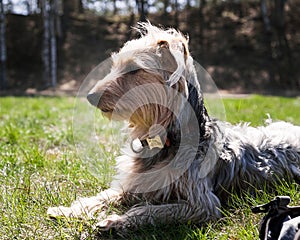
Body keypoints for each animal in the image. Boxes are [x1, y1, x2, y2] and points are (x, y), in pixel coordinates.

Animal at [47, 22, 300, 231]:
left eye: (135, 69)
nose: (90, 96)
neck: (167, 138)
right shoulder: (134, 183)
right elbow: (103, 195)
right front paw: (68, 209)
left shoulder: (202, 205)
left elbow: (154, 210)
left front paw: (116, 221)